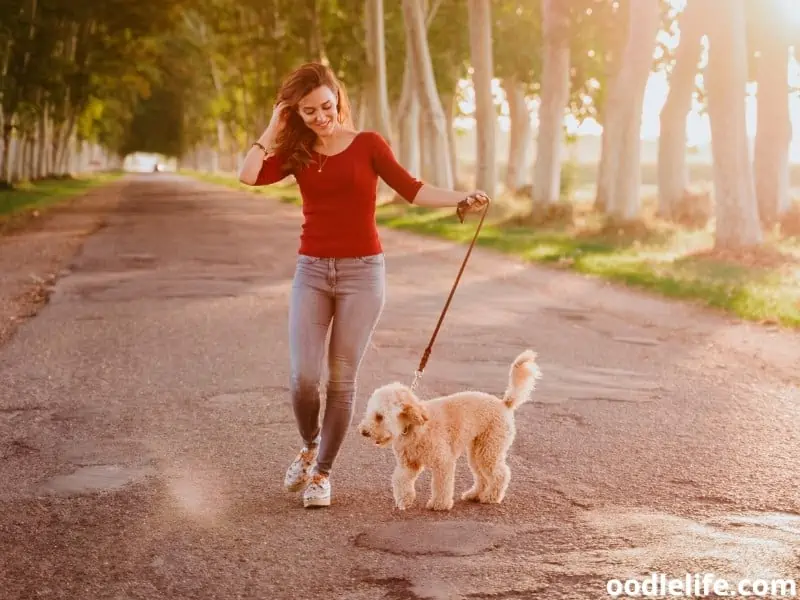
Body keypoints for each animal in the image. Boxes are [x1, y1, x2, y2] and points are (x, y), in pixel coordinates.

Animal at [358, 352, 540, 510]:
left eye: (379, 416)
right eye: (369, 413)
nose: (363, 432)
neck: (413, 428)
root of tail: (504, 403)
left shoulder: (443, 461)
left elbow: (442, 485)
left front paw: (439, 505)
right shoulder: (408, 464)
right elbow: (401, 480)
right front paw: (404, 499)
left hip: (490, 448)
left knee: (500, 474)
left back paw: (491, 497)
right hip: (478, 451)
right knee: (481, 476)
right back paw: (474, 494)